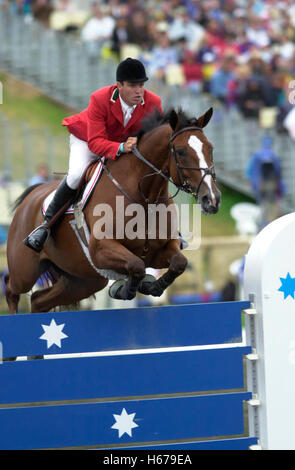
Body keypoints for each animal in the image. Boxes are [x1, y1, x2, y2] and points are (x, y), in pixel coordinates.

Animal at [3, 108, 221, 314]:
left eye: (211, 148)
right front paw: (125, 289)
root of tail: (31, 195)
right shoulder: (101, 248)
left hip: (82, 279)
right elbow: (136, 265)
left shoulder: (161, 250)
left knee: (38, 300)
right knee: (11, 288)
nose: (212, 199)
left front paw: (153, 287)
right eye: (181, 151)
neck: (145, 197)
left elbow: (179, 262)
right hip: (25, 271)